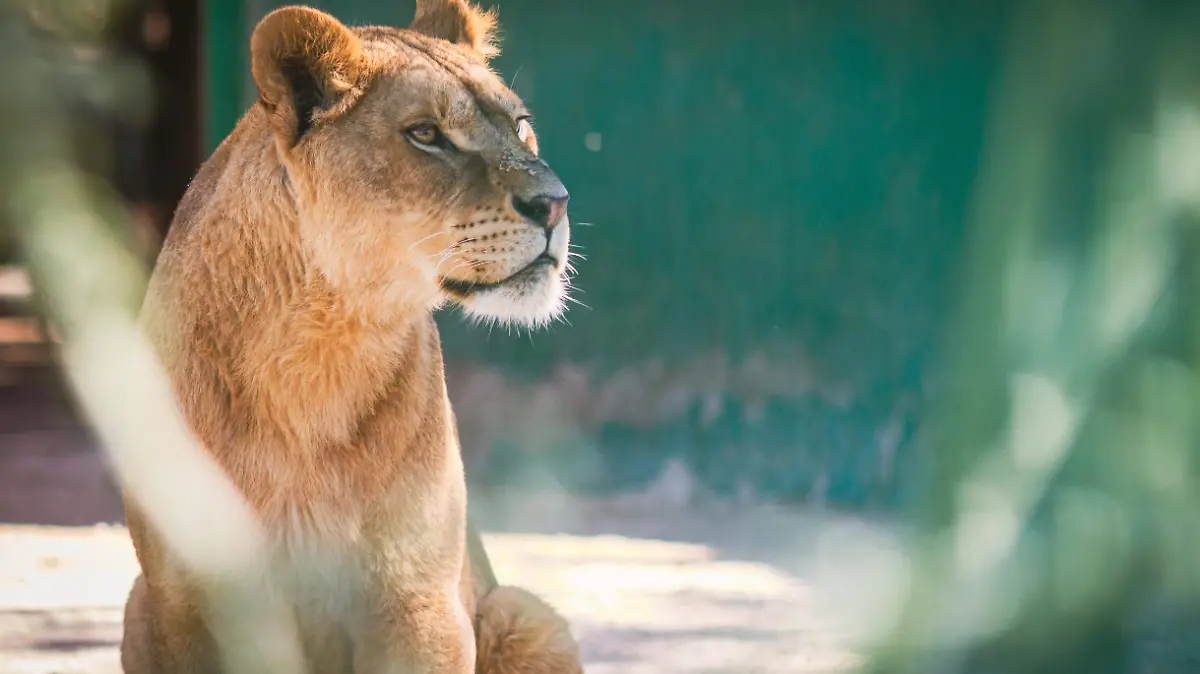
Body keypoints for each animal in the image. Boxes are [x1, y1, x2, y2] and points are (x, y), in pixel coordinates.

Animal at [118, 2, 583, 673]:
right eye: (426, 134)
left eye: (520, 127)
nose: (555, 204)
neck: (322, 345)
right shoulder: (190, 602)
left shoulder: (421, 602)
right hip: (138, 606)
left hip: (523, 613)